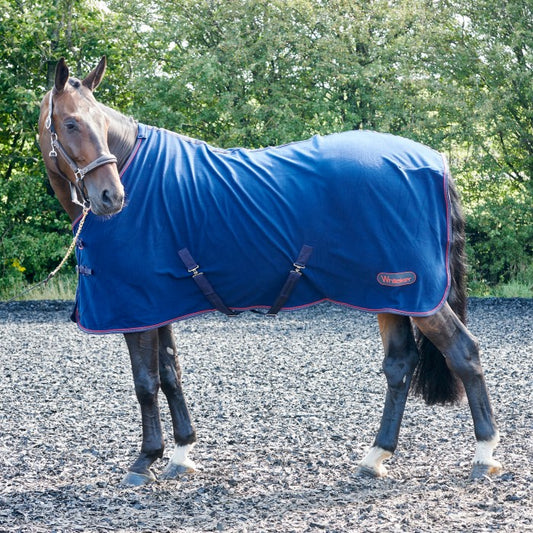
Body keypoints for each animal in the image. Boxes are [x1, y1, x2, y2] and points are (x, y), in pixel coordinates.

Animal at [38, 56, 502, 484]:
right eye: (71, 123)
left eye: (101, 122)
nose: (111, 197)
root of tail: (433, 160)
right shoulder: (157, 305)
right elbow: (170, 374)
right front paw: (181, 454)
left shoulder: (134, 308)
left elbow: (145, 382)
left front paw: (144, 460)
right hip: (391, 293)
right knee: (399, 366)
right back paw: (375, 457)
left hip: (418, 295)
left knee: (463, 352)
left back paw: (484, 455)